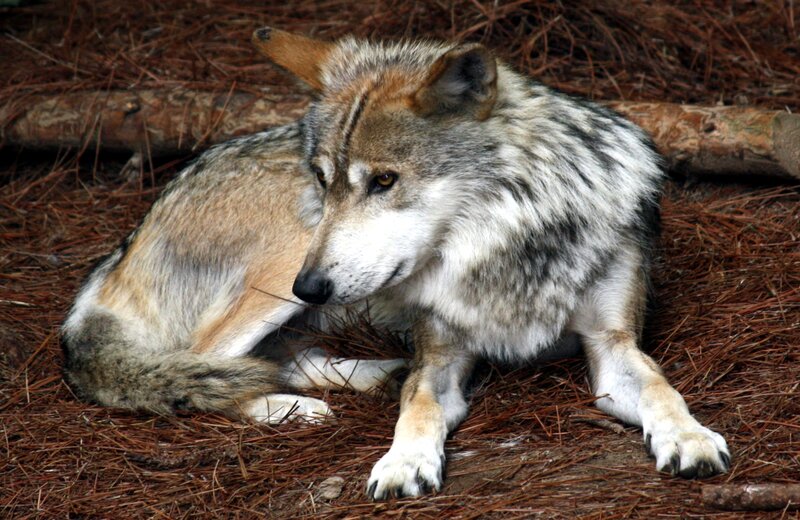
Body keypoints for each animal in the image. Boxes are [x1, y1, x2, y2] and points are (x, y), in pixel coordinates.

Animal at [252, 28, 731, 499]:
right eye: (322, 179)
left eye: (384, 180)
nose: (308, 287)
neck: (501, 245)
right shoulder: (439, 356)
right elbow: (418, 407)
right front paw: (403, 461)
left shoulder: (612, 342)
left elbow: (660, 390)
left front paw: (689, 437)